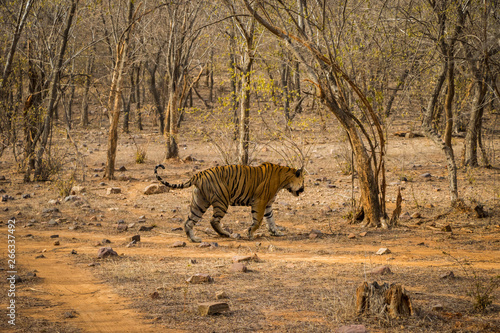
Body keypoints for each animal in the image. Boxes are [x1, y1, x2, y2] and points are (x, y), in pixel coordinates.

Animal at [154, 162, 304, 243]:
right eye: (303, 181)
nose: (303, 189)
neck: (283, 180)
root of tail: (198, 174)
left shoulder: (268, 204)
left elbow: (271, 219)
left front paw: (276, 232)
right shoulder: (260, 201)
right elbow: (258, 220)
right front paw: (250, 234)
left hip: (199, 203)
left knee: (189, 221)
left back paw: (194, 239)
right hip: (222, 201)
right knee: (213, 221)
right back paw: (225, 234)